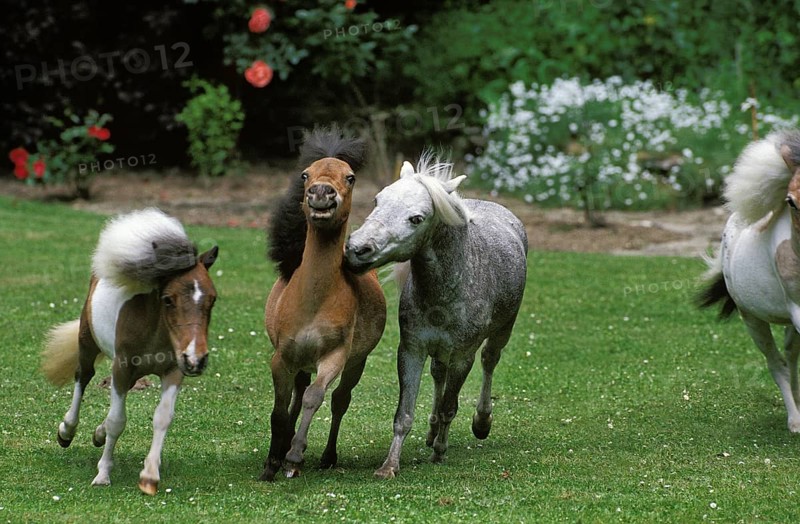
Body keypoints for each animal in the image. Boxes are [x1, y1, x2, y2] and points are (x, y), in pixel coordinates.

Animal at [41, 208, 219, 495]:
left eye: (212, 299)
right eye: (168, 299)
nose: (196, 359)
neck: (154, 329)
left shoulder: (173, 370)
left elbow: (162, 418)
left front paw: (149, 476)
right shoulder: (121, 368)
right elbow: (117, 420)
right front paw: (103, 474)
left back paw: (98, 434)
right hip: (87, 342)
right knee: (83, 377)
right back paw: (67, 431)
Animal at [260, 126, 387, 481]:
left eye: (350, 177)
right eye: (305, 174)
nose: (321, 194)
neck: (313, 302)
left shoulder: (336, 355)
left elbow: (315, 397)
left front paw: (293, 457)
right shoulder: (281, 357)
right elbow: (279, 410)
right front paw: (271, 463)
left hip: (357, 361)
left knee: (340, 399)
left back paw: (327, 456)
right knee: (299, 389)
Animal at [344, 154, 528, 479]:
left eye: (416, 218)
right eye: (378, 200)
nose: (357, 249)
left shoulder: (463, 356)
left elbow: (449, 407)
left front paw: (441, 452)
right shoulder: (411, 350)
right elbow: (404, 413)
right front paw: (389, 466)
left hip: (502, 330)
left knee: (489, 362)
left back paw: (481, 422)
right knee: (438, 375)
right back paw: (431, 433)